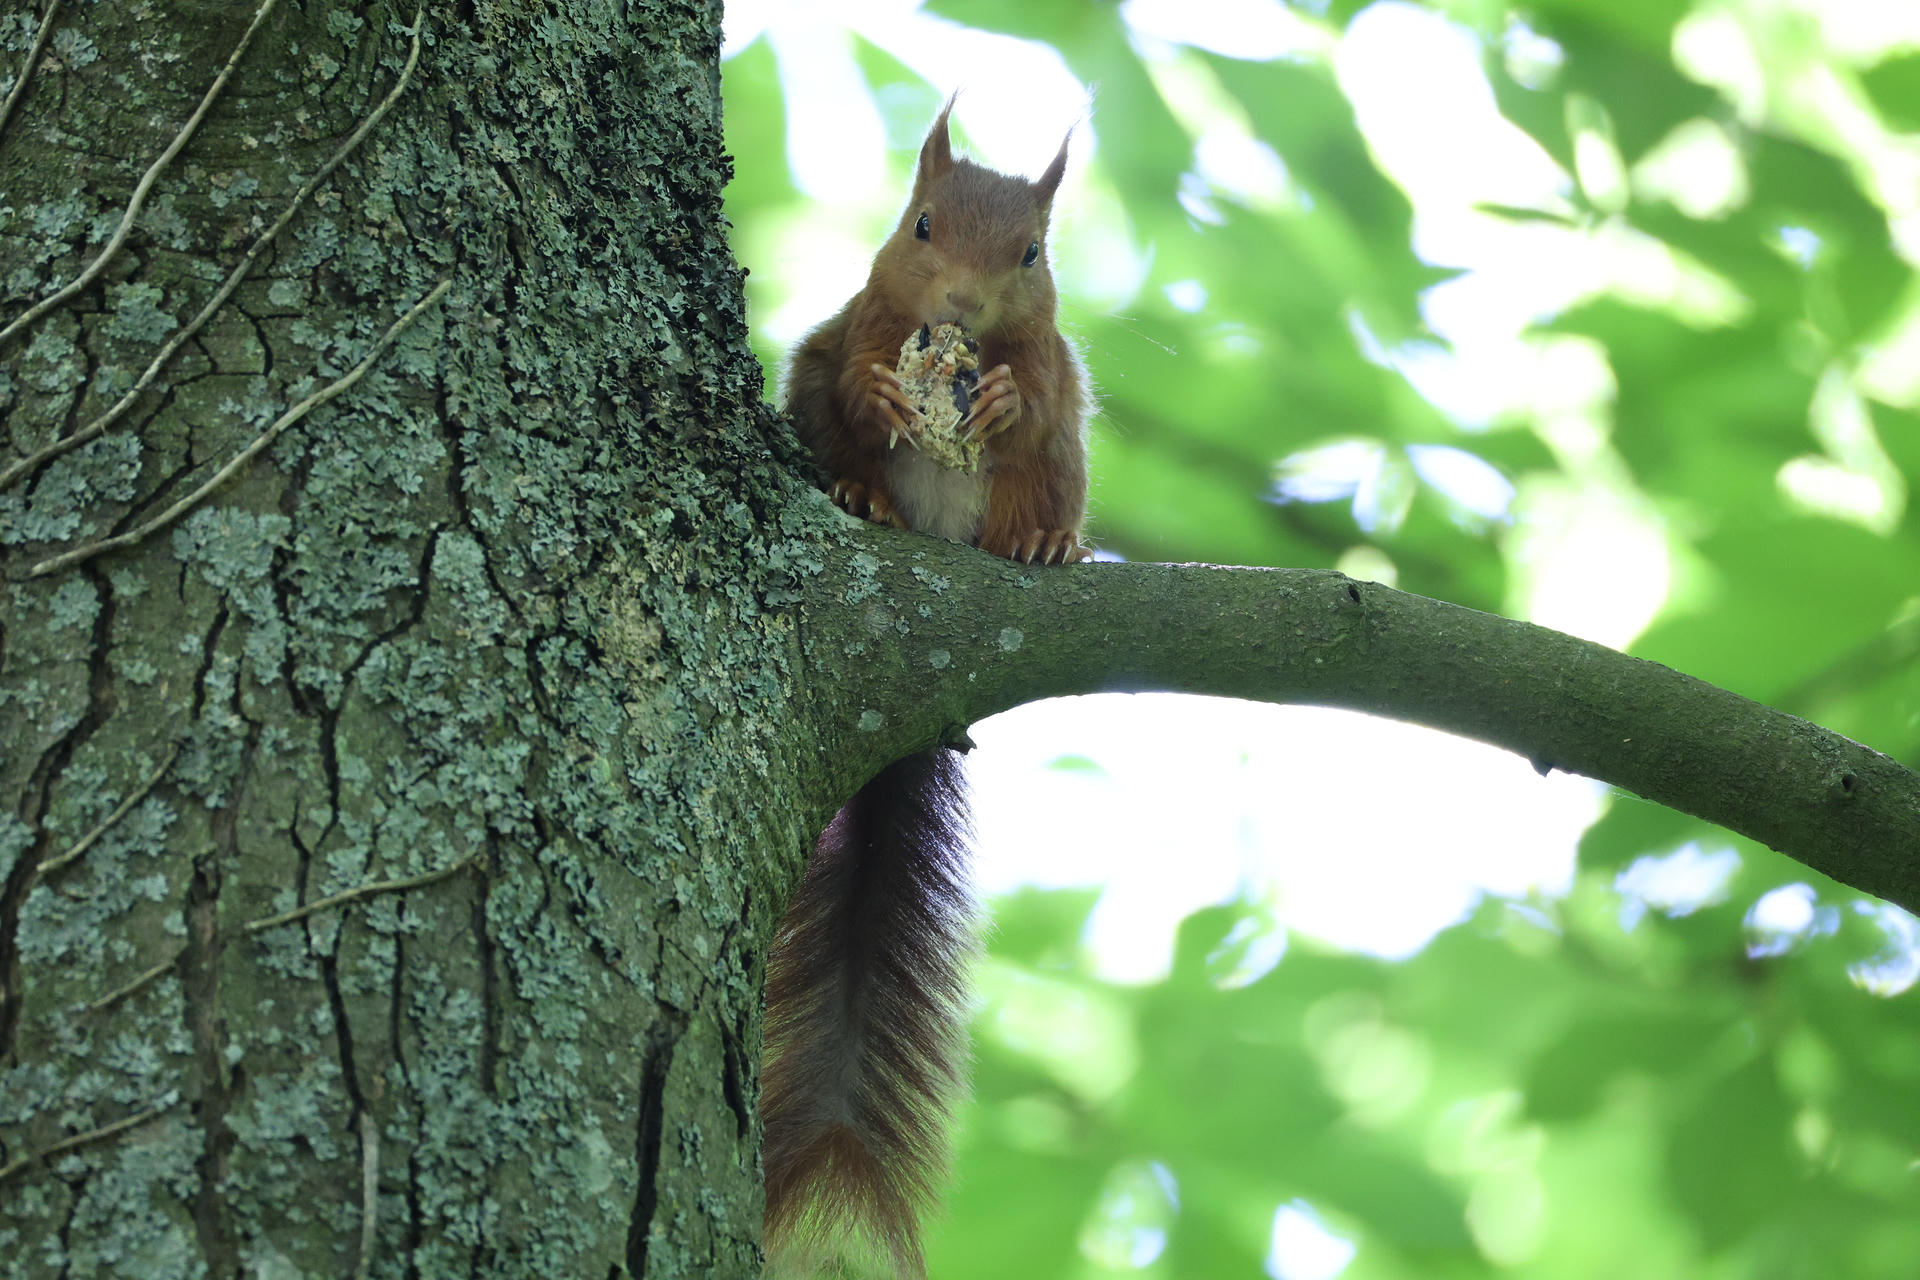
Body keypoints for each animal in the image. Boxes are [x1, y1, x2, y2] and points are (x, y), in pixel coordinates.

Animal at [764, 98, 1090, 1278]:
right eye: (920, 226)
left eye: (1032, 254)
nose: (959, 306)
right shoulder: (857, 319)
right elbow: (855, 368)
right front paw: (877, 395)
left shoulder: (1053, 357)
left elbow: (1034, 394)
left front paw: (996, 396)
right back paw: (863, 492)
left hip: (1061, 471)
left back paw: (1045, 544)